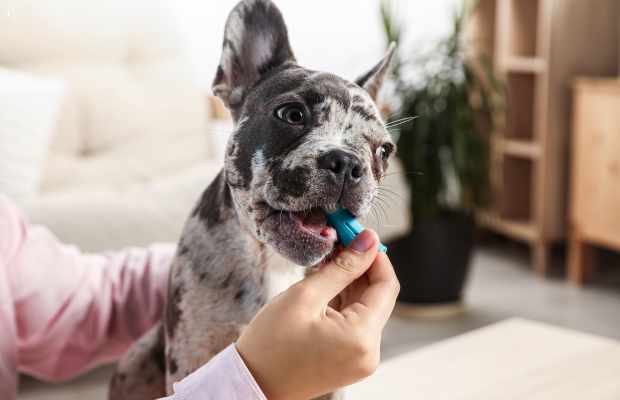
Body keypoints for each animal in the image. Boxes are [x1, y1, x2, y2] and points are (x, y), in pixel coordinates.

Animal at [109, 1, 394, 398]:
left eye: (384, 150)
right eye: (292, 114)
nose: (347, 163)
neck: (273, 261)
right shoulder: (191, 353)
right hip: (134, 361)